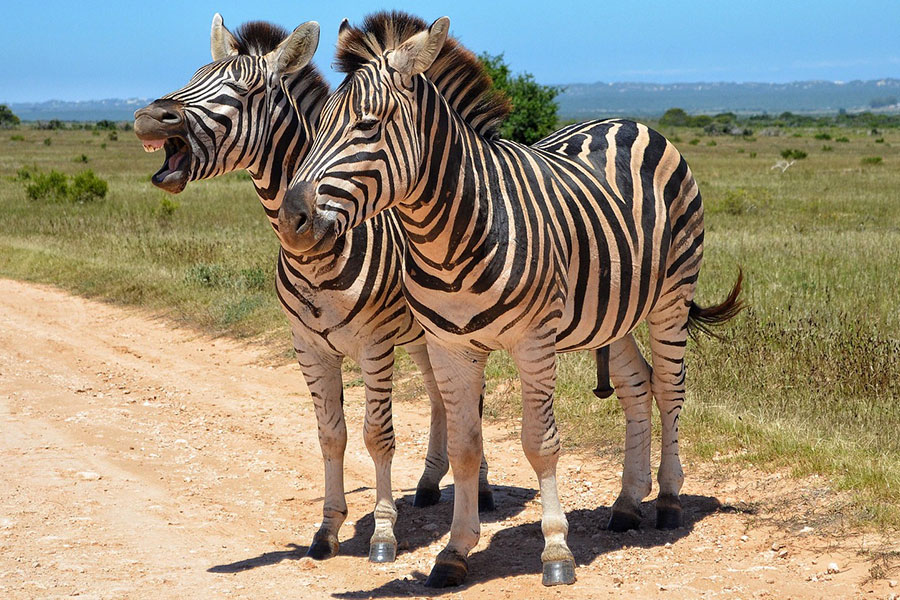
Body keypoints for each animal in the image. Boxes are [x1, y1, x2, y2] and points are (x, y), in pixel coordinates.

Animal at [132, 15, 496, 565]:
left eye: (245, 91)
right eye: (194, 75)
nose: (151, 118)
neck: (318, 253)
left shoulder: (373, 344)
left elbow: (376, 435)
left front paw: (383, 534)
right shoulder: (309, 346)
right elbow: (331, 436)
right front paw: (327, 530)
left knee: (469, 403)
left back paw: (484, 491)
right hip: (421, 336)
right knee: (439, 398)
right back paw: (431, 483)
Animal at [277, 11, 743, 587]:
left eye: (368, 125)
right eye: (317, 125)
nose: (291, 220)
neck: (451, 235)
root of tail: (630, 122)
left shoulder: (534, 343)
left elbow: (539, 444)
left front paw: (557, 552)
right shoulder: (451, 347)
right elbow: (465, 447)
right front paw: (454, 551)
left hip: (671, 297)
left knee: (671, 389)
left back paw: (670, 499)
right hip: (612, 311)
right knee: (638, 387)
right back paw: (627, 503)